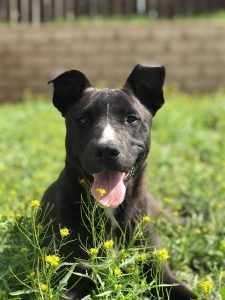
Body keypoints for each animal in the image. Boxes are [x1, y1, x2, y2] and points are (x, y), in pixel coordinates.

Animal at [42, 64, 197, 298]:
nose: (106, 150)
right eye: (83, 119)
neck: (110, 211)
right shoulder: (69, 278)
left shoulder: (160, 272)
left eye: (131, 119)